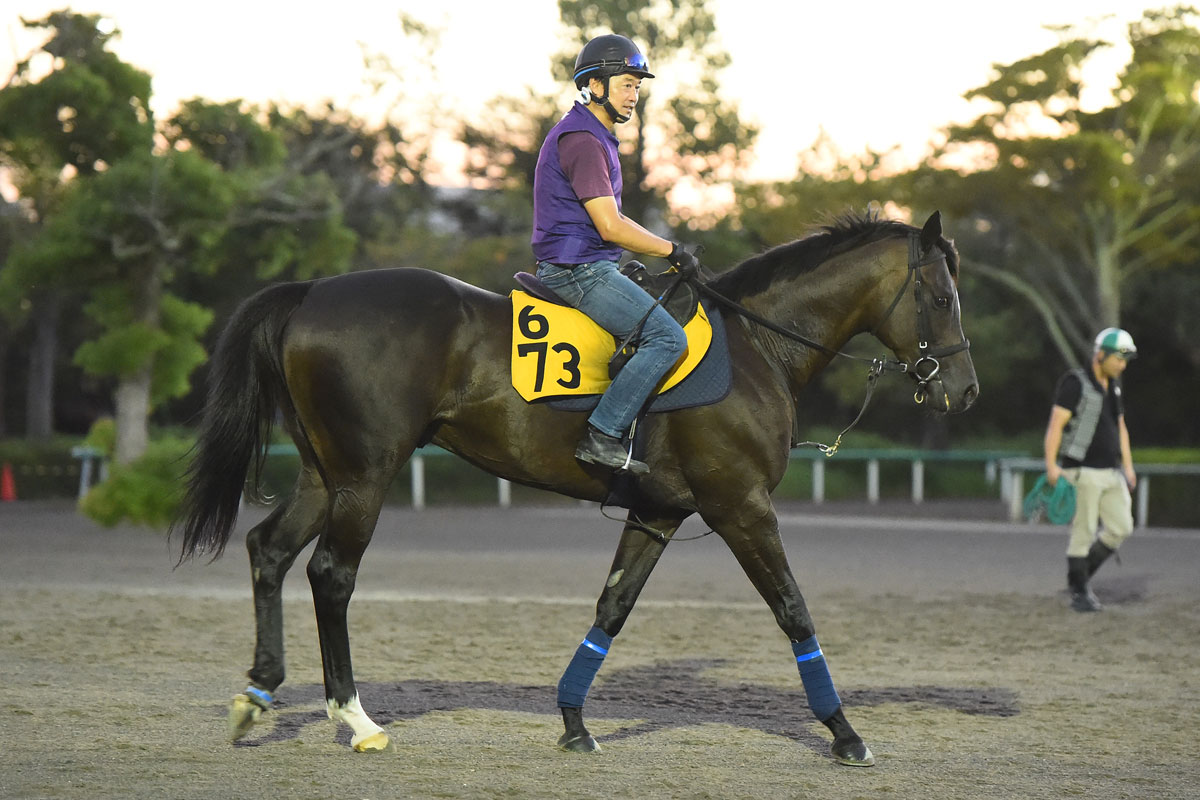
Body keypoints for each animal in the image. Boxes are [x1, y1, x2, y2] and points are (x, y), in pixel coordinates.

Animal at [174, 210, 978, 766]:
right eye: (940, 296)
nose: (964, 392)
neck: (756, 347)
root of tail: (313, 292)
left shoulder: (658, 513)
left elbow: (611, 610)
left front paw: (572, 721)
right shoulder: (742, 508)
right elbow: (793, 611)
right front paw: (844, 733)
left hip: (326, 474)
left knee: (269, 551)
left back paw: (258, 695)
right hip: (367, 476)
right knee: (331, 574)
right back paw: (355, 718)